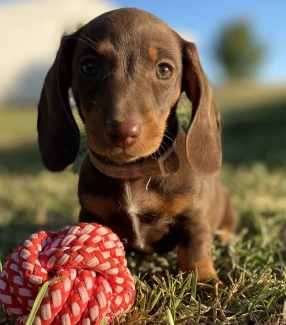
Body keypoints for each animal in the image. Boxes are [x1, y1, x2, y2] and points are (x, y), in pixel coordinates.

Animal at [37, 7, 235, 280]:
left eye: (164, 70)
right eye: (88, 66)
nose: (122, 132)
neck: (133, 172)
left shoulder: (194, 215)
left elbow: (195, 249)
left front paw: (205, 281)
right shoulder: (91, 213)